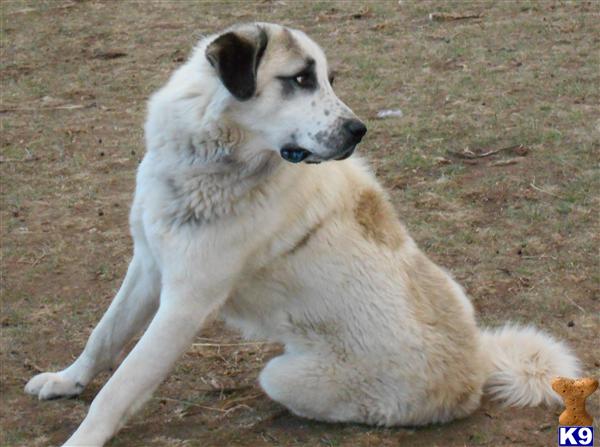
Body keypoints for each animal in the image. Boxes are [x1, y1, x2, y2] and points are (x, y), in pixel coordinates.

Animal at [25, 21, 580, 447]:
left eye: (327, 81)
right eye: (299, 79)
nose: (359, 131)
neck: (211, 163)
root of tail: (476, 363)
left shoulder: (185, 303)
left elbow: (120, 386)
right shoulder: (148, 265)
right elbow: (104, 336)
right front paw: (67, 381)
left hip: (285, 374)